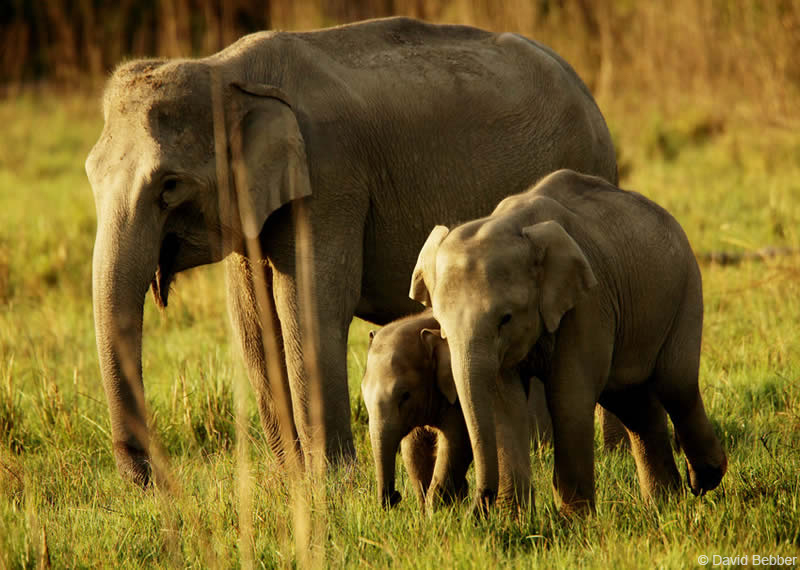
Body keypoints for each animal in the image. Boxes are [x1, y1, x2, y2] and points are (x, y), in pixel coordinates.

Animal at [84, 15, 616, 482]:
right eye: (91, 174)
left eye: (169, 186)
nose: (148, 480)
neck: (225, 70)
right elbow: (254, 324)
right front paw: (291, 483)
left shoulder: (331, 179)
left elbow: (308, 309)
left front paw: (332, 483)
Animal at [360, 308, 552, 508]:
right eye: (363, 392)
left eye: (405, 395)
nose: (395, 496)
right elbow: (413, 451)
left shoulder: (457, 401)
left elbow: (456, 443)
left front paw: (438, 510)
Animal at [410, 166, 728, 512]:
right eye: (441, 324)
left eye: (505, 318)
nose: (476, 506)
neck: (512, 223)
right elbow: (503, 401)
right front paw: (512, 518)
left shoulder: (587, 301)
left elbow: (568, 396)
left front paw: (575, 519)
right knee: (633, 403)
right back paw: (664, 502)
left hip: (687, 290)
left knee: (675, 385)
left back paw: (705, 479)